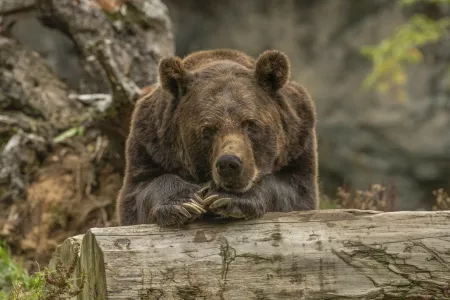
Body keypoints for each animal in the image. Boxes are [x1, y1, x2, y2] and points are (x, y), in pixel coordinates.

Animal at [116, 48, 320, 226]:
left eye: (251, 124)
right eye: (207, 129)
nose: (229, 164)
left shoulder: (298, 142)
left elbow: (294, 190)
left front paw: (228, 198)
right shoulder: (150, 143)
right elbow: (139, 191)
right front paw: (185, 203)